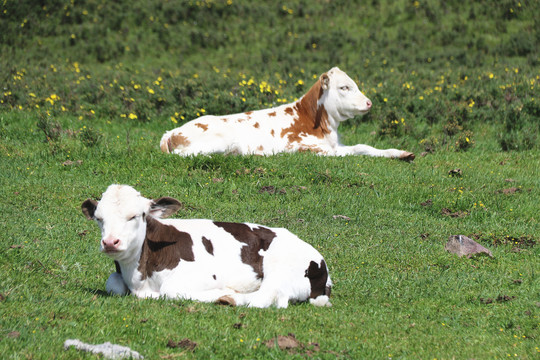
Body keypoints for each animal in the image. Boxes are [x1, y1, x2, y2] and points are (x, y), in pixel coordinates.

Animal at [81, 184, 332, 308]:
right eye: (99, 218)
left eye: (135, 216)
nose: (110, 242)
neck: (139, 275)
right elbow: (113, 283)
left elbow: (169, 289)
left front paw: (223, 293)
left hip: (281, 268)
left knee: (266, 298)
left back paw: (230, 297)